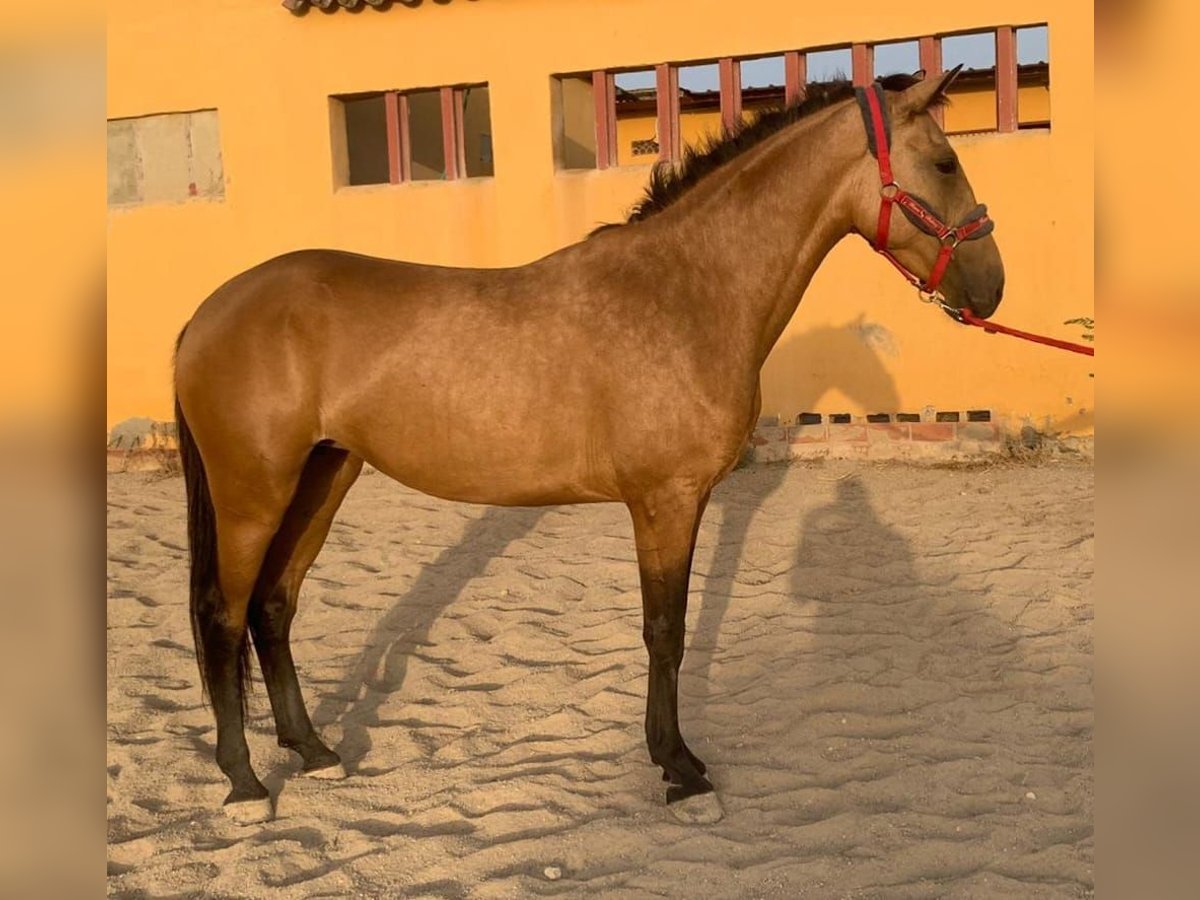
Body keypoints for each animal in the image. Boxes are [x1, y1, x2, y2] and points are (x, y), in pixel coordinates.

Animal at [175, 70, 1003, 830]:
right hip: (253, 492)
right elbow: (665, 631)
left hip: (323, 474)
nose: (991, 289)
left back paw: (314, 752)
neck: (686, 293)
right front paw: (680, 770)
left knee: (274, 606)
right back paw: (245, 784)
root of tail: (207, 314)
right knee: (224, 613)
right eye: (943, 163)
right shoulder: (665, 501)